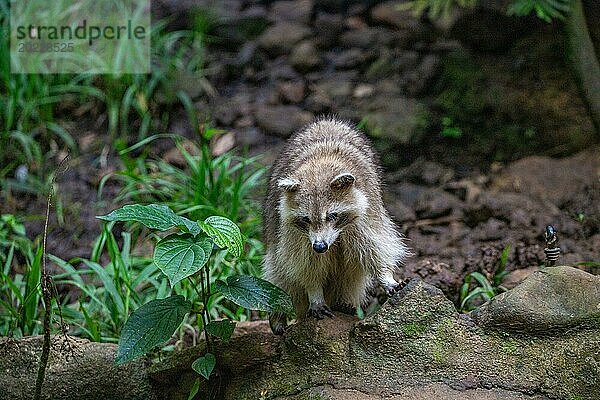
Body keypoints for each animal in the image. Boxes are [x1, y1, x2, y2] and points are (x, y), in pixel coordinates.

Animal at [262, 116, 408, 334]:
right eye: (306, 219)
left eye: (332, 216)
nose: (320, 246)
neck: (320, 162)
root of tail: (327, 120)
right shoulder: (293, 233)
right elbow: (303, 263)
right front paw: (314, 292)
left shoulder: (368, 210)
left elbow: (375, 246)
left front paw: (385, 276)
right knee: (278, 272)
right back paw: (279, 315)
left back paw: (343, 304)